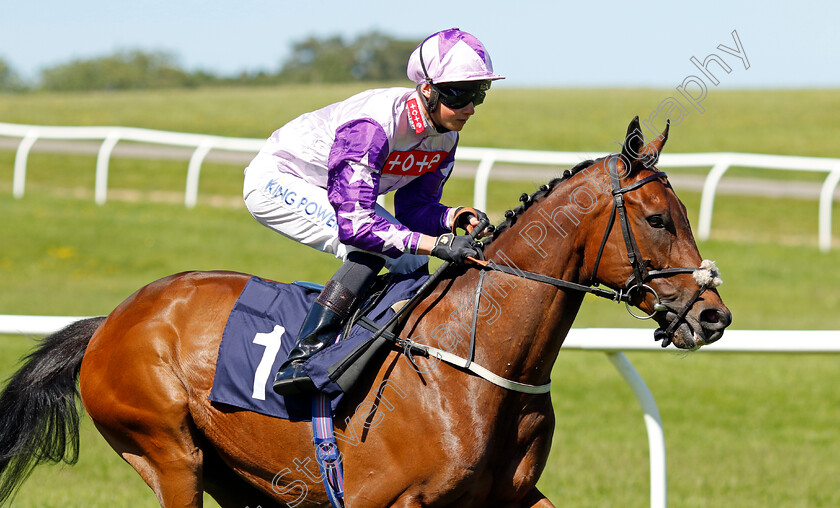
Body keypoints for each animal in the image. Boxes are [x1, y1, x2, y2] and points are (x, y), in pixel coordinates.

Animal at [0, 117, 728, 506]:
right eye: (659, 219)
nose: (713, 316)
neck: (474, 368)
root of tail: (113, 320)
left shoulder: (513, 493)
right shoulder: (388, 498)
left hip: (235, 472)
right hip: (169, 453)